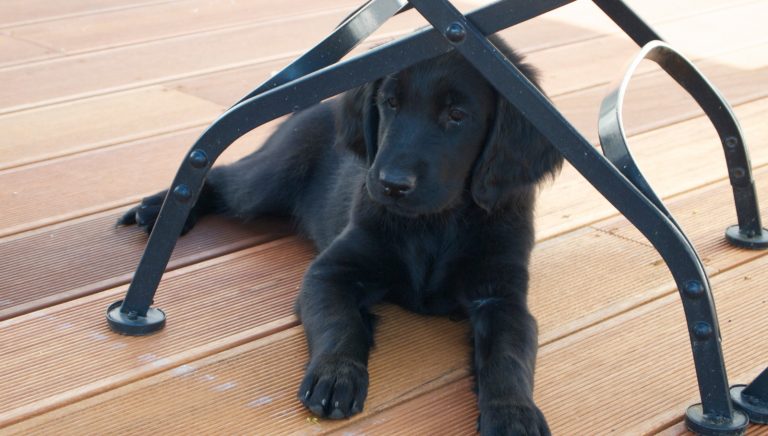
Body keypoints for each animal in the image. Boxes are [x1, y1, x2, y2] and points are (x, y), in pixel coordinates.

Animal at [119, 35, 562, 435]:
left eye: (456, 115)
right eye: (390, 103)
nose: (391, 184)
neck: (434, 224)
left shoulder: (502, 297)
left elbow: (509, 357)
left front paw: (513, 414)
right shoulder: (330, 272)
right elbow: (341, 322)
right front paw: (336, 375)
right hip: (267, 182)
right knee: (223, 177)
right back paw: (156, 208)